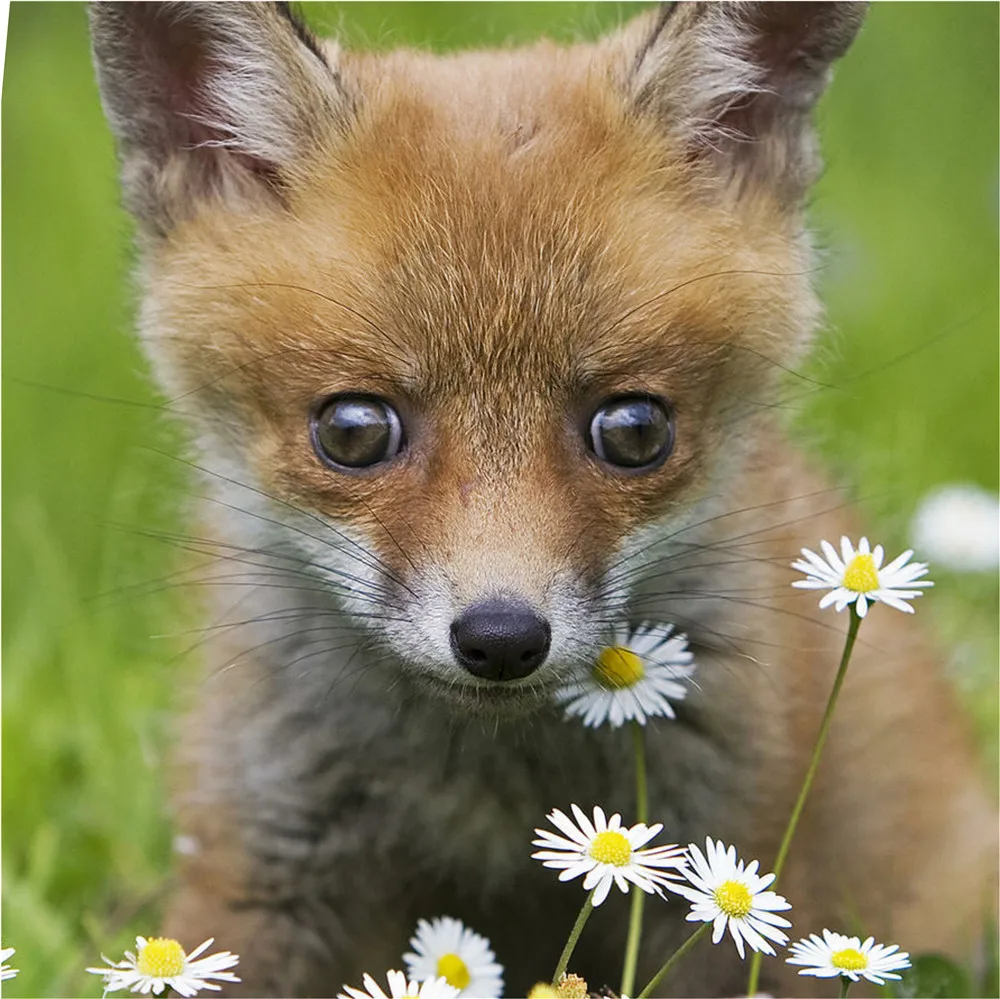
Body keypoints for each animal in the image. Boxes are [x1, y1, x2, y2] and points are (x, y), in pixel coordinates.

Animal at [88, 2, 997, 996]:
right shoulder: (265, 857)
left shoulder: (725, 872)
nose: (501, 637)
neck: (484, 784)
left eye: (634, 429)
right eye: (354, 429)